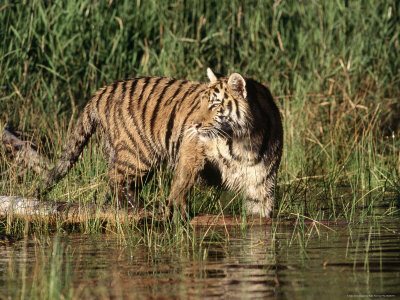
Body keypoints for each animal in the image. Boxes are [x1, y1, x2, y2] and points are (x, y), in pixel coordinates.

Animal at [42, 68, 282, 218]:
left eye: (214, 105)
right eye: (200, 103)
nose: (193, 124)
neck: (243, 140)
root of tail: (100, 91)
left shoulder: (261, 180)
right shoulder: (192, 148)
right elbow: (182, 180)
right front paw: (177, 208)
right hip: (137, 154)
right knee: (116, 181)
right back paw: (144, 208)